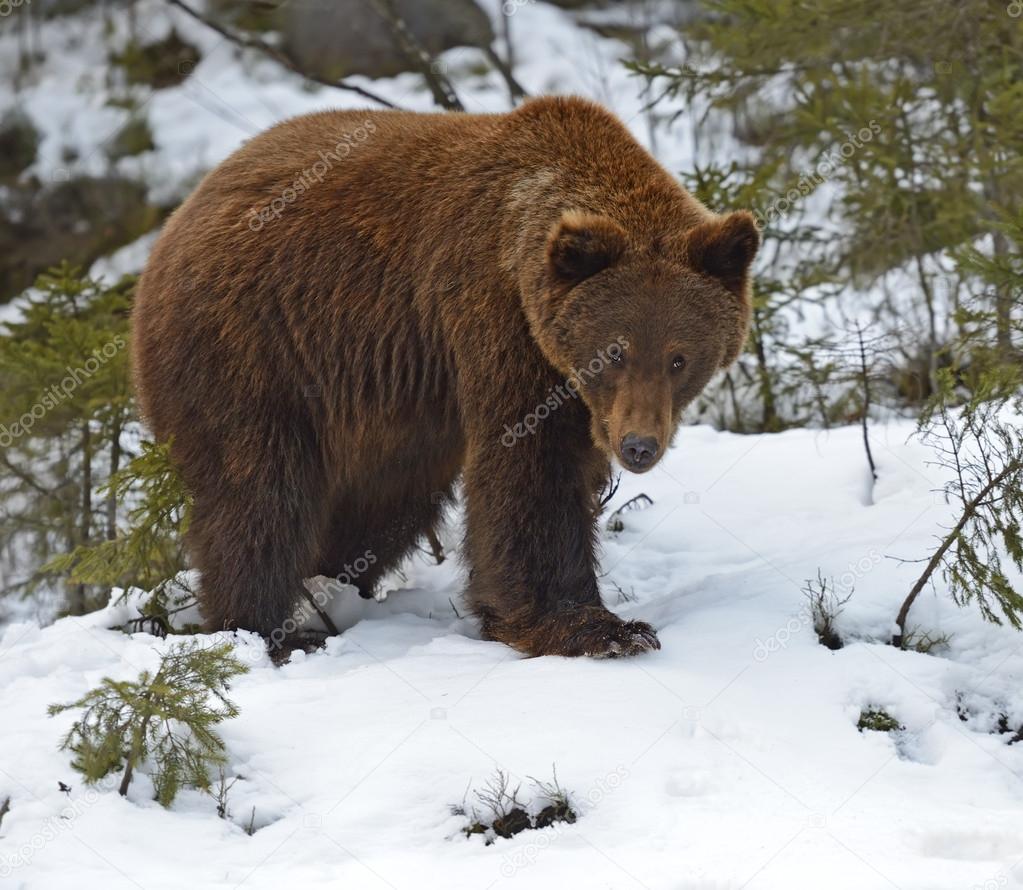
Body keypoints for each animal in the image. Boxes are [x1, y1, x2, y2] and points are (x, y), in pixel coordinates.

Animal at [129, 94, 761, 658]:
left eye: (679, 358)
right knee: (257, 491)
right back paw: (268, 629)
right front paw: (593, 627)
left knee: (379, 506)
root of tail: (177, 220)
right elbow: (530, 470)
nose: (638, 446)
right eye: (614, 352)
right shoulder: (497, 322)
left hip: (385, 413)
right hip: (251, 345)